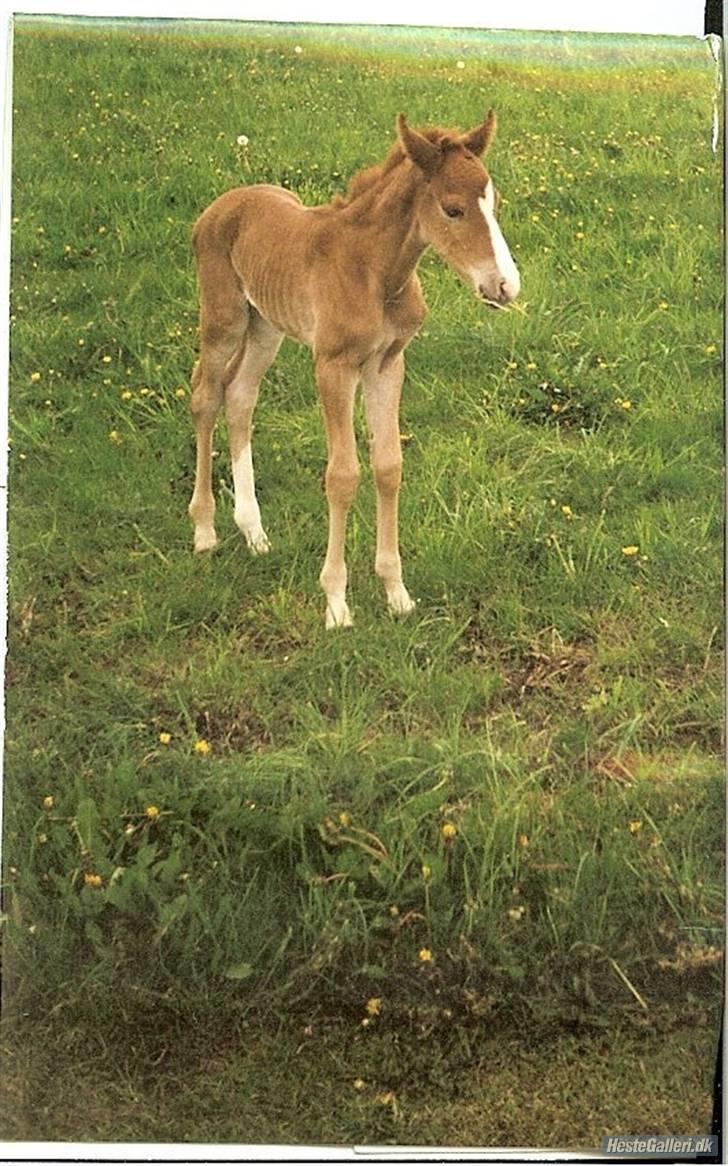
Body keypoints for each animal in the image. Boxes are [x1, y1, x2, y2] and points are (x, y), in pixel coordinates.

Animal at [187, 113, 518, 629]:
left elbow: (388, 466)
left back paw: (254, 532)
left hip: (266, 326)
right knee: (205, 395)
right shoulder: (333, 365)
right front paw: (337, 604)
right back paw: (204, 531)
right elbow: (342, 475)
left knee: (240, 395)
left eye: (494, 203)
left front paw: (397, 593)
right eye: (453, 209)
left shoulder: (388, 363)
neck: (375, 273)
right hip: (224, 318)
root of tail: (221, 205)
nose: (505, 286)